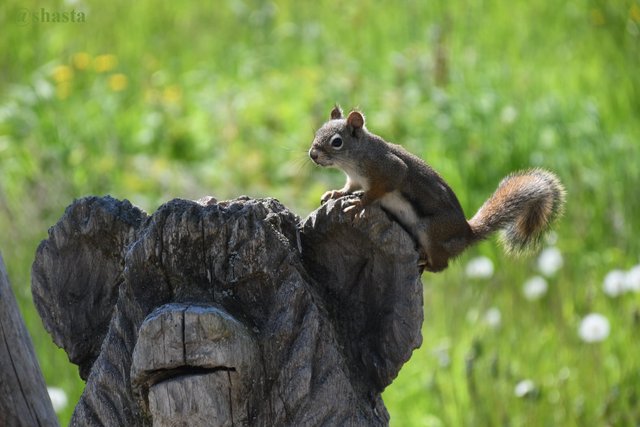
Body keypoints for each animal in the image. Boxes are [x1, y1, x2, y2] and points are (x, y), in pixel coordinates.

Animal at [310, 107, 564, 274]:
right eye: (317, 132)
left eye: (336, 142)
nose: (312, 155)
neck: (353, 161)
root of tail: (466, 234)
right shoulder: (354, 180)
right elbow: (348, 188)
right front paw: (335, 194)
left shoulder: (389, 169)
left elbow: (379, 189)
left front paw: (359, 203)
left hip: (431, 230)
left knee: (442, 265)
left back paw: (427, 264)